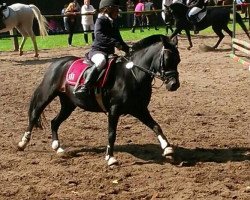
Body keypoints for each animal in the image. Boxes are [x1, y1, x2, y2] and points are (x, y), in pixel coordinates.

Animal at [18, 34, 182, 166]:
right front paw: (111, 158)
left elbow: (156, 126)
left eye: (178, 60)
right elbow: (111, 134)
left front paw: (168, 149)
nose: (174, 85)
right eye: (167, 59)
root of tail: (57, 63)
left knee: (54, 122)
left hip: (68, 104)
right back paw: (22, 143)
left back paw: (58, 148)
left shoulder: (139, 109)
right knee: (34, 115)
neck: (132, 74)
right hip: (47, 95)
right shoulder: (114, 111)